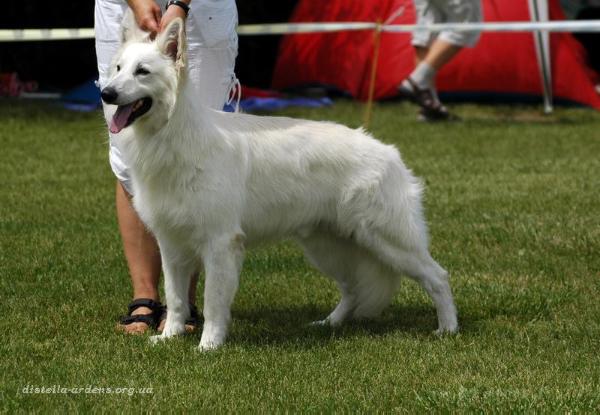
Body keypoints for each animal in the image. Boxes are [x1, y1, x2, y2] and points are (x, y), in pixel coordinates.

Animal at [101, 13, 458, 352]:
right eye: (117, 68)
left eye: (142, 72)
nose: (105, 93)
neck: (173, 135)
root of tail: (389, 152)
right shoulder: (172, 244)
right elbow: (175, 299)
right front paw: (169, 338)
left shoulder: (219, 244)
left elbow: (213, 302)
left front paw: (208, 346)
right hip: (328, 247)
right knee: (354, 289)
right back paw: (329, 324)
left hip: (388, 241)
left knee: (438, 277)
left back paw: (448, 329)